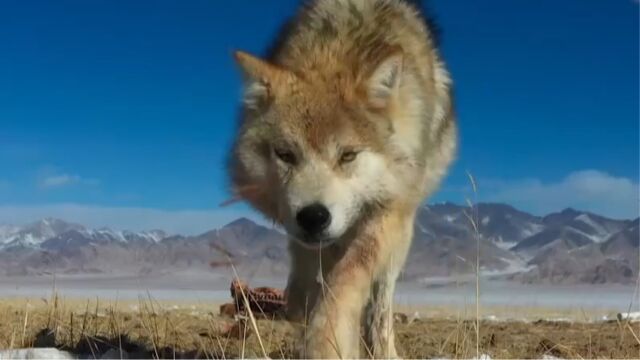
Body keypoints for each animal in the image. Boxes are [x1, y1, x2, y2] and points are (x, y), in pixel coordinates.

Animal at [228, 0, 458, 358]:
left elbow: (346, 283)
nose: (313, 217)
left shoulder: (388, 211)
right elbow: (313, 283)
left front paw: (328, 342)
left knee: (380, 302)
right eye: (285, 154)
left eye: (348, 155)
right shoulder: (306, 239)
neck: (337, 49)